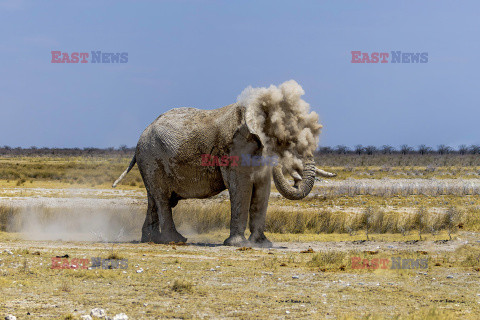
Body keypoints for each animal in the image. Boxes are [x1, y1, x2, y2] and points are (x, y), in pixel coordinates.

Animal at [113, 80, 336, 248]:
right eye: (286, 136)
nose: (294, 178)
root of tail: (141, 136)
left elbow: (262, 190)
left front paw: (262, 244)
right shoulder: (234, 148)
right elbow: (242, 187)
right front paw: (238, 244)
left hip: (149, 160)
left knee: (153, 198)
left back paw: (150, 240)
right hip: (151, 157)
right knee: (162, 198)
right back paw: (174, 240)